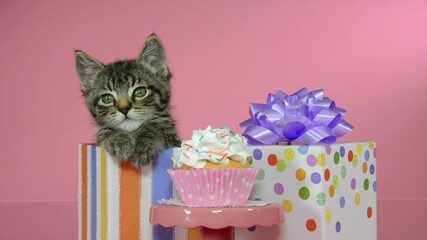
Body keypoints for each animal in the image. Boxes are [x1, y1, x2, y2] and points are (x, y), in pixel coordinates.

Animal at [76, 34, 181, 168]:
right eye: (107, 98)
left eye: (140, 92)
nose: (124, 109)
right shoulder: (99, 139)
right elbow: (106, 132)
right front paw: (120, 141)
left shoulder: (173, 139)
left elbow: (154, 127)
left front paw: (144, 147)